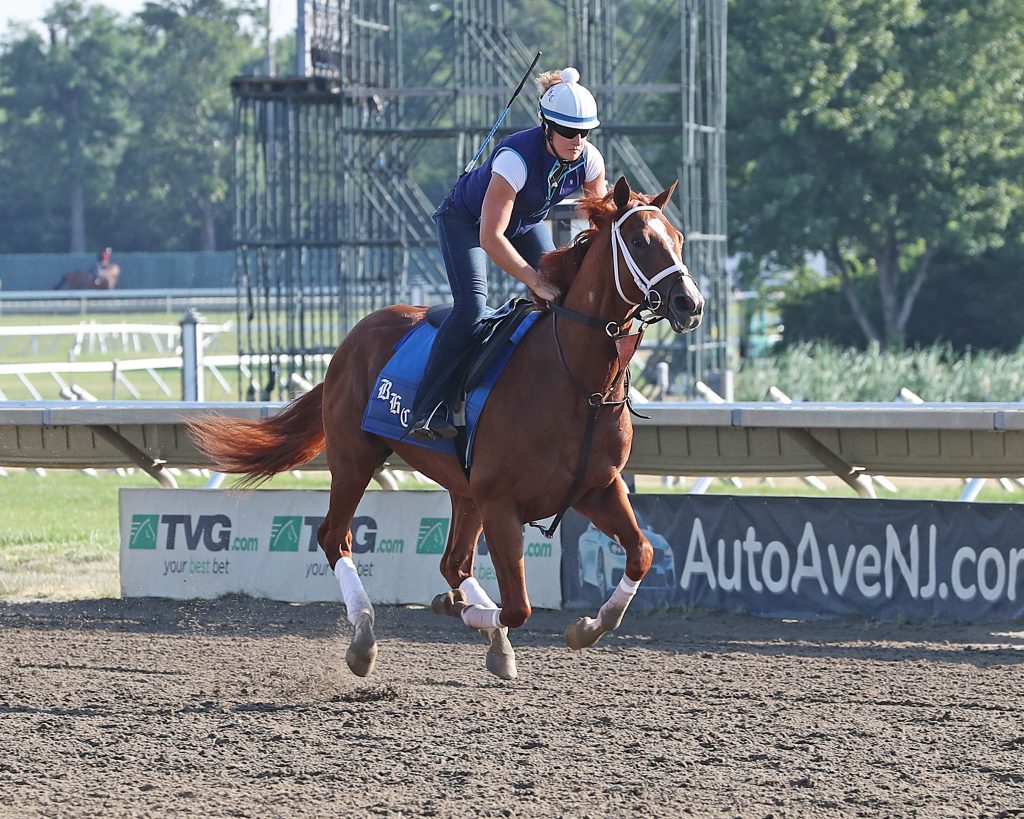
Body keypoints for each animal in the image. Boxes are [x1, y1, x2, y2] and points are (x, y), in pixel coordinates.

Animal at [188, 177, 704, 679]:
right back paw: (364, 639)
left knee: (452, 562)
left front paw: (584, 627)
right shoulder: (501, 503)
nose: (691, 303)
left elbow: (641, 553)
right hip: (355, 459)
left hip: (462, 488)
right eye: (639, 241)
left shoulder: (597, 487)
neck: (574, 380)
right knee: (336, 538)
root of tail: (354, 336)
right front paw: (474, 617)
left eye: (678, 239)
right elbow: (518, 608)